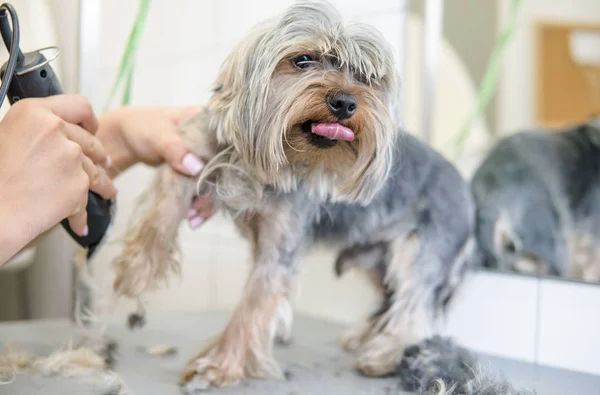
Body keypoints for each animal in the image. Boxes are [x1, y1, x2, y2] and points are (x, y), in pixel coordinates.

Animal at [110, 0, 480, 392]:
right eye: (303, 60)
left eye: (367, 77)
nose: (346, 102)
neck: (270, 157)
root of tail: (462, 184)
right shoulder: (191, 151)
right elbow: (164, 204)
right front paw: (138, 270)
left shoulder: (281, 237)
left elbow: (254, 304)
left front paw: (218, 365)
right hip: (376, 256)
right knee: (389, 296)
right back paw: (364, 337)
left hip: (424, 247)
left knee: (416, 306)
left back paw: (384, 357)